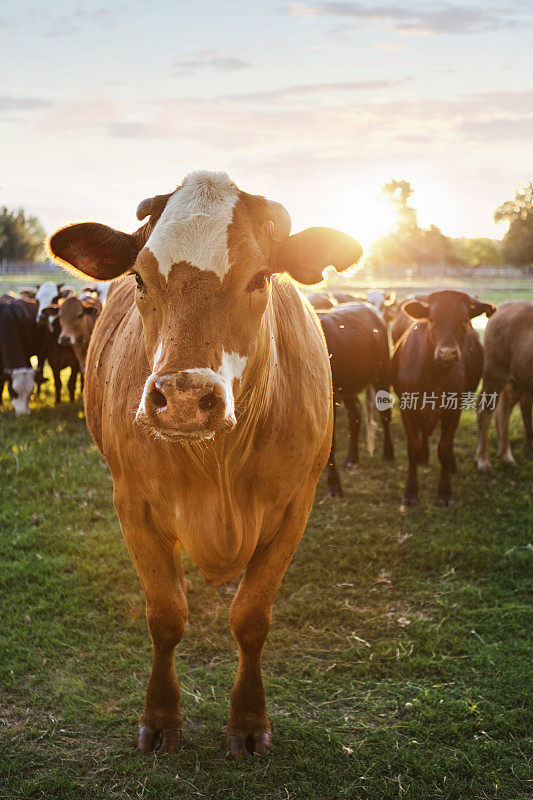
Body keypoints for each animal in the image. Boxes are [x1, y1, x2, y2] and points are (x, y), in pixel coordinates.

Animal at [48, 167, 362, 756]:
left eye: (260, 277)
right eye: (140, 277)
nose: (185, 396)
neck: (219, 461)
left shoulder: (296, 507)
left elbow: (251, 618)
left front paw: (248, 721)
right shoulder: (133, 506)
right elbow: (166, 615)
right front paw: (161, 716)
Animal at [316, 304, 394, 496]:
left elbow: (331, 443)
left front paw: (334, 484)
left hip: (383, 374)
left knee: (385, 415)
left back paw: (388, 453)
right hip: (348, 388)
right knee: (355, 418)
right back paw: (352, 459)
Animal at [390, 290, 494, 506]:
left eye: (464, 320)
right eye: (432, 319)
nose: (447, 353)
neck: (434, 377)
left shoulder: (453, 410)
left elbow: (444, 449)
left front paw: (445, 492)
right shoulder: (407, 408)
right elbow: (412, 448)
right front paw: (411, 491)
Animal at [474, 300, 532, 468]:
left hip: (518, 380)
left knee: (505, 411)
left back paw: (506, 455)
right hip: (494, 374)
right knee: (485, 411)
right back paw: (484, 460)